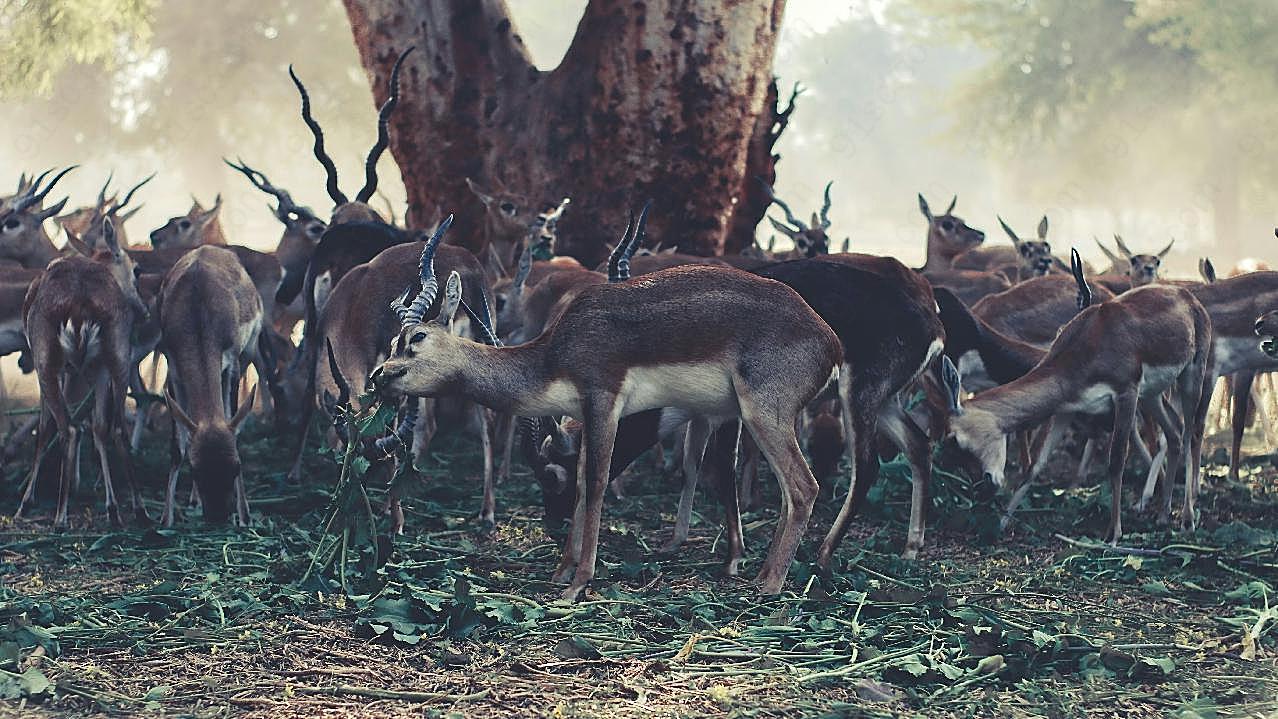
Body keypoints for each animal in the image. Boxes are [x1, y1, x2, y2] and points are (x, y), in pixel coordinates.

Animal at [16, 219, 146, 528]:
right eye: (136, 270)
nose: (145, 311)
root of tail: (79, 303)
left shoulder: (59, 369)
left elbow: (45, 430)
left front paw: (27, 502)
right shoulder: (94, 369)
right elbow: (97, 426)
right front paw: (109, 504)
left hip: (46, 360)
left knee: (67, 428)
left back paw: (59, 517)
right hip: (117, 356)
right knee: (117, 427)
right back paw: (136, 510)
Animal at [157, 246, 261, 523]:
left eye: (236, 467)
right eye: (195, 470)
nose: (218, 516)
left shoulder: (232, 363)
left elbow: (234, 425)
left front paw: (245, 516)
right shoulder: (174, 369)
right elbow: (178, 445)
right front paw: (166, 518)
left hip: (249, 353)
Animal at [373, 220, 848, 602]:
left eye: (415, 338)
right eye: (394, 340)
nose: (380, 376)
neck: (554, 354)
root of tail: (829, 341)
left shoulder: (603, 402)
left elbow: (598, 483)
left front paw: (578, 583)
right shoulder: (585, 414)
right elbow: (584, 481)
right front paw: (561, 569)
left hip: (762, 415)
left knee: (803, 487)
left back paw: (770, 585)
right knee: (786, 492)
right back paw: (760, 573)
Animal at [945, 270, 1211, 541]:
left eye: (957, 440)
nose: (983, 489)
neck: (1086, 343)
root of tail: (1187, 296)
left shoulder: (1125, 393)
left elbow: (1116, 461)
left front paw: (1113, 534)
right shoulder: (1067, 408)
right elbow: (1035, 465)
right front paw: (1001, 523)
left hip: (1191, 377)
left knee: (1190, 434)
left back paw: (1187, 519)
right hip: (1152, 395)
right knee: (1174, 432)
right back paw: (1163, 515)